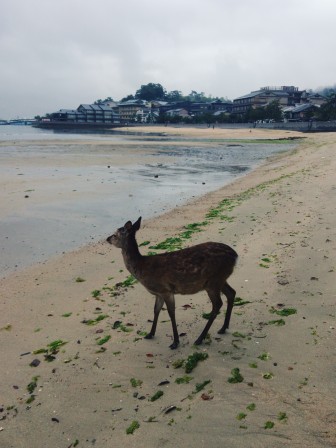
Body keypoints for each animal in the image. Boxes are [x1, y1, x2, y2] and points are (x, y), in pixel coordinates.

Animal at [106, 217, 238, 350]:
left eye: (116, 234)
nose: (107, 238)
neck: (142, 268)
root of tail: (236, 256)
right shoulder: (158, 293)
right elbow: (156, 310)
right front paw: (150, 334)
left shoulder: (166, 290)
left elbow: (171, 313)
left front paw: (175, 342)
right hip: (220, 279)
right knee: (231, 293)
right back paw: (223, 328)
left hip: (213, 281)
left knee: (217, 304)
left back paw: (200, 339)